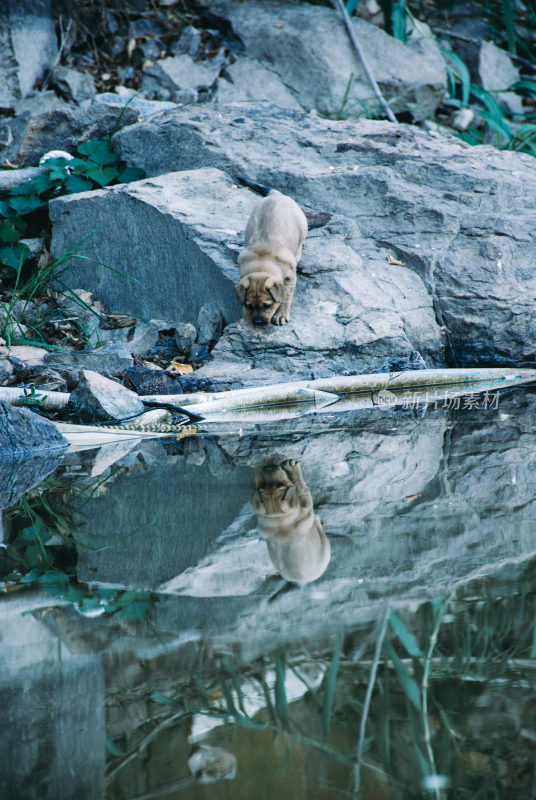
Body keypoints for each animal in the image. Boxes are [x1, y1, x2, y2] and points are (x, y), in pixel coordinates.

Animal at [237, 190, 308, 324]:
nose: (257, 322)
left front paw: (281, 315)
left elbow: (286, 297)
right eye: (249, 306)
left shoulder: (290, 277)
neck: (262, 261)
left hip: (303, 225)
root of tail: (278, 195)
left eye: (267, 306)